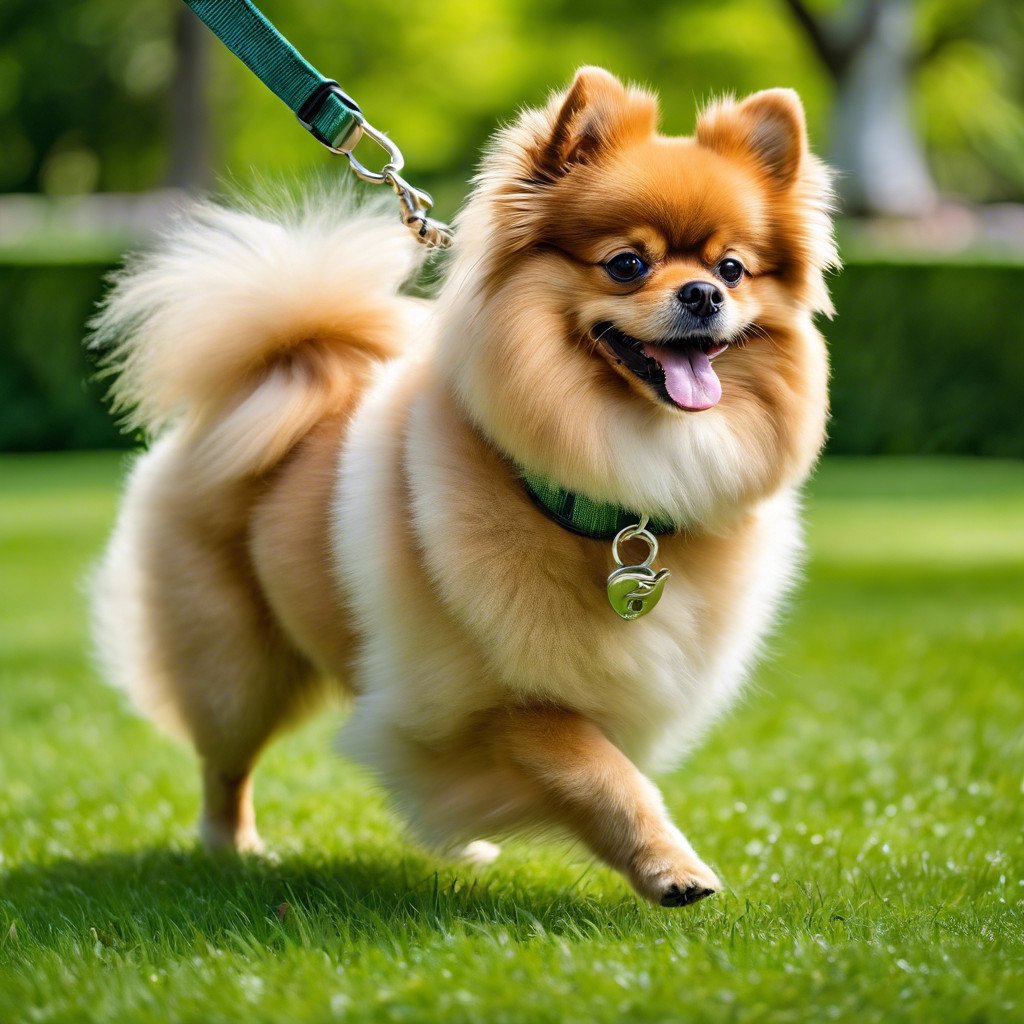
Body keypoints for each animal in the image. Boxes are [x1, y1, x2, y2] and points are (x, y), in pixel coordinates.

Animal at [92, 68, 835, 909]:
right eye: (627, 264)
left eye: (733, 268)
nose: (705, 294)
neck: (612, 478)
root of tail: (284, 361)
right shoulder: (480, 698)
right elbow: (597, 770)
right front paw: (670, 867)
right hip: (236, 666)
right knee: (226, 764)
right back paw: (235, 849)